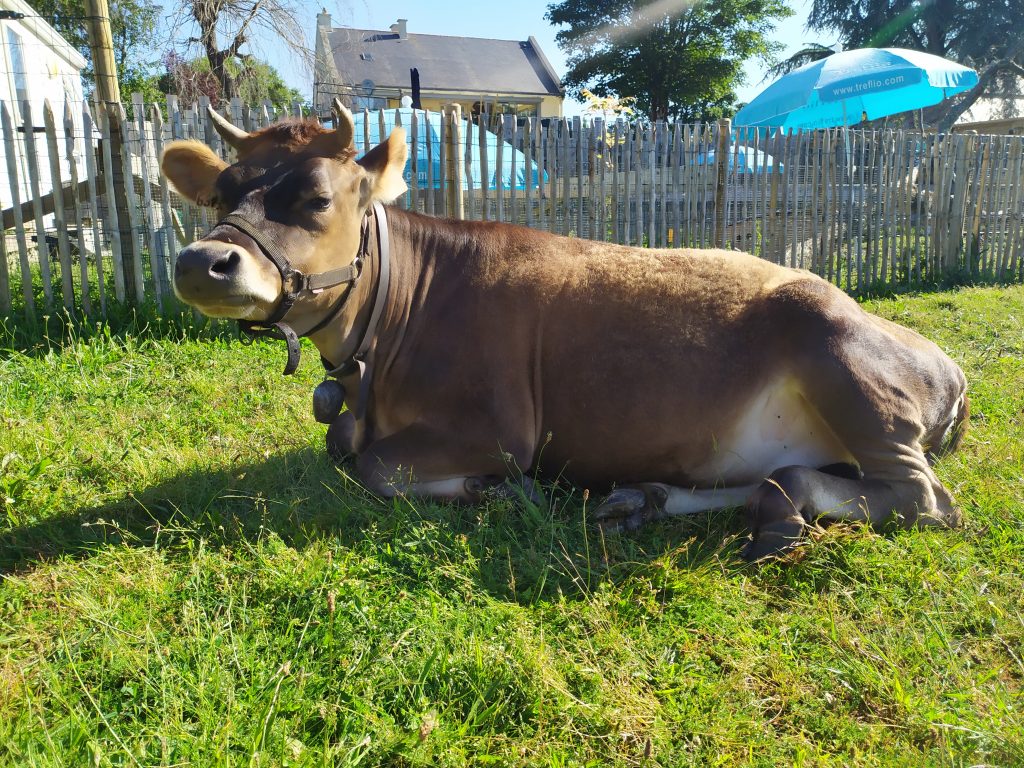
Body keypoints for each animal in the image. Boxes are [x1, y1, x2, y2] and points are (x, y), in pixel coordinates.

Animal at [160, 103, 969, 560]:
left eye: (317, 198)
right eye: (223, 194)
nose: (203, 260)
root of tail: (949, 365)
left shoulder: (500, 429)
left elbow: (375, 468)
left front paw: (500, 491)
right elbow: (343, 449)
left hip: (840, 356)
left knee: (925, 501)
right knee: (766, 477)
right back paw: (645, 498)